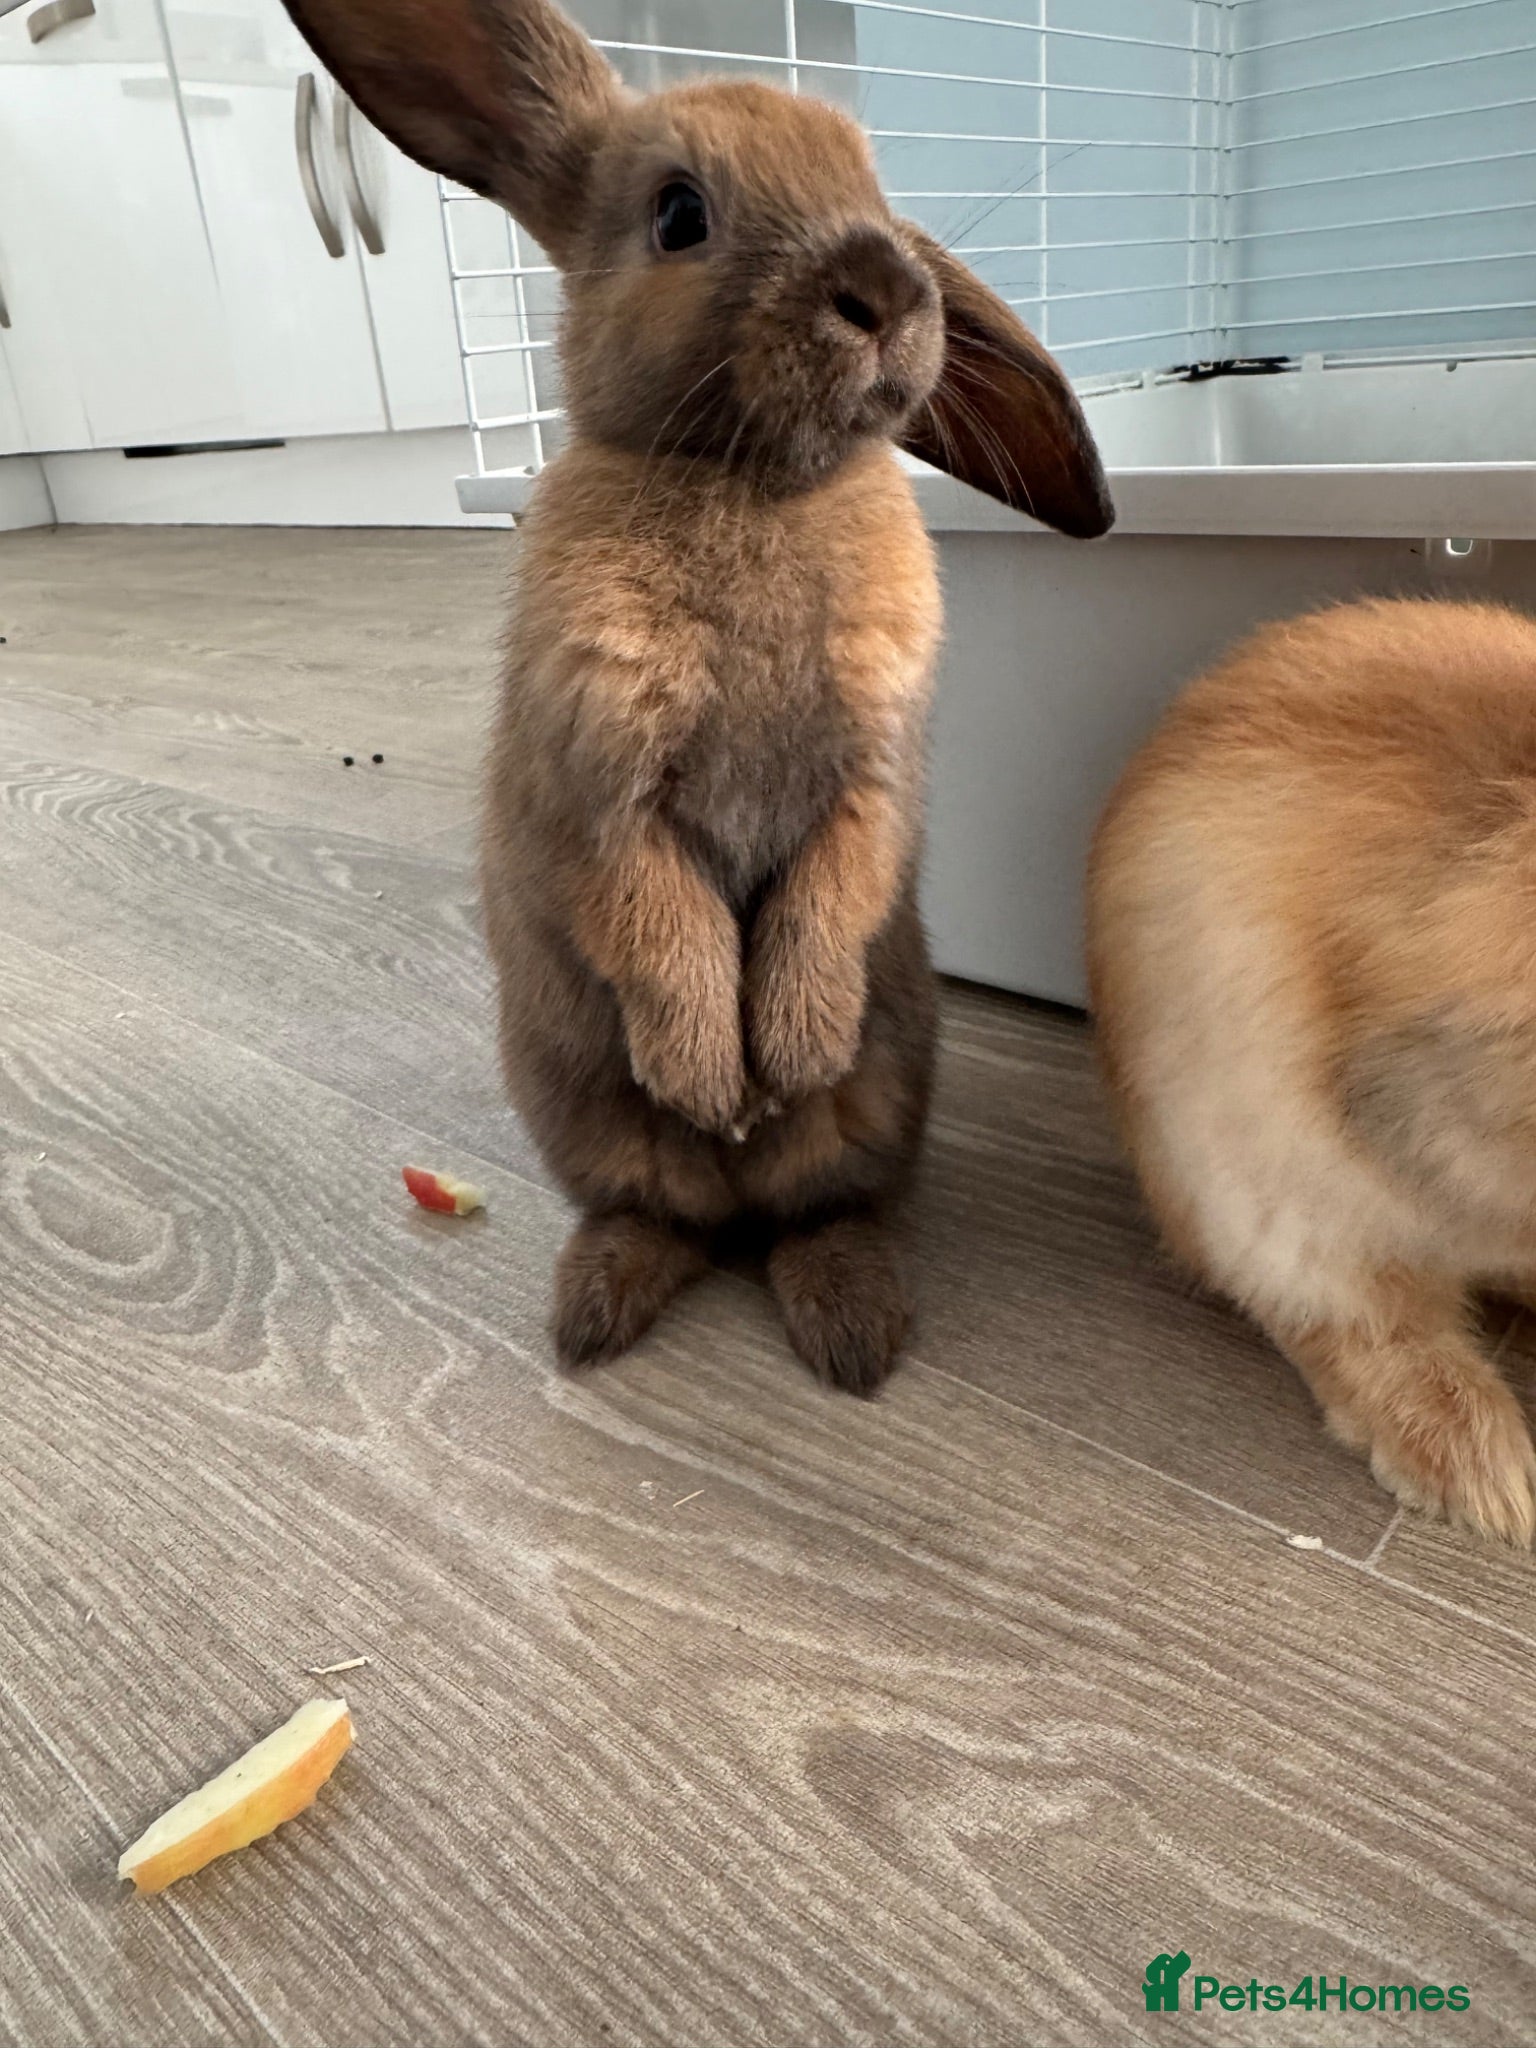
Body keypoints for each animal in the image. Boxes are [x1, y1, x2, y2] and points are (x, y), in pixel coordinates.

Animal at [281, 0, 1113, 1392]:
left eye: (875, 190)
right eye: (678, 214)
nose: (885, 287)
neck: (755, 482)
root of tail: (731, 1204)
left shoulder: (870, 782)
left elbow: (826, 898)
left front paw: (788, 1051)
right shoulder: (605, 795)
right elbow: (666, 929)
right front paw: (715, 1077)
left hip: (869, 1114)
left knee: (811, 1215)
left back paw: (850, 1328)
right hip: (586, 1114)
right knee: (662, 1214)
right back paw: (601, 1308)